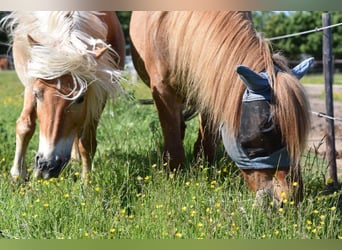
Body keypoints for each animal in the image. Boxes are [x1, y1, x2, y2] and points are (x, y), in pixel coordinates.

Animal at [2, 11, 125, 180]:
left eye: (80, 99)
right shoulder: (31, 79)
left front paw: (86, 181)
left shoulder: (99, 92)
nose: (47, 165)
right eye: (37, 94)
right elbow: (25, 125)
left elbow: (87, 141)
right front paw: (17, 174)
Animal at [130, 10, 314, 204]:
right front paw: (175, 180)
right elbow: (175, 147)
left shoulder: (210, 88)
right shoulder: (163, 92)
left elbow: (207, 144)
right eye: (265, 133)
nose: (294, 197)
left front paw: (204, 174)